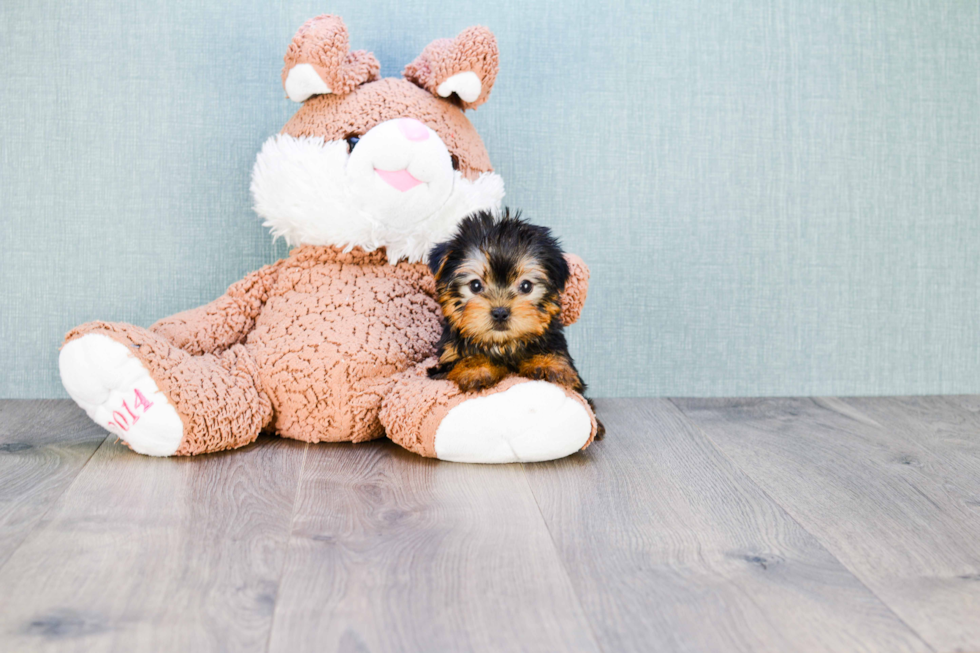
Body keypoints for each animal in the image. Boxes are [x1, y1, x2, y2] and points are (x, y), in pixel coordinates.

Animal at [428, 210, 604, 438]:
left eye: (526, 286)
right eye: (475, 285)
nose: (500, 312)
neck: (503, 344)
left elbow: (555, 354)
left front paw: (546, 364)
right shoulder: (447, 356)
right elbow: (464, 358)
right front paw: (476, 368)